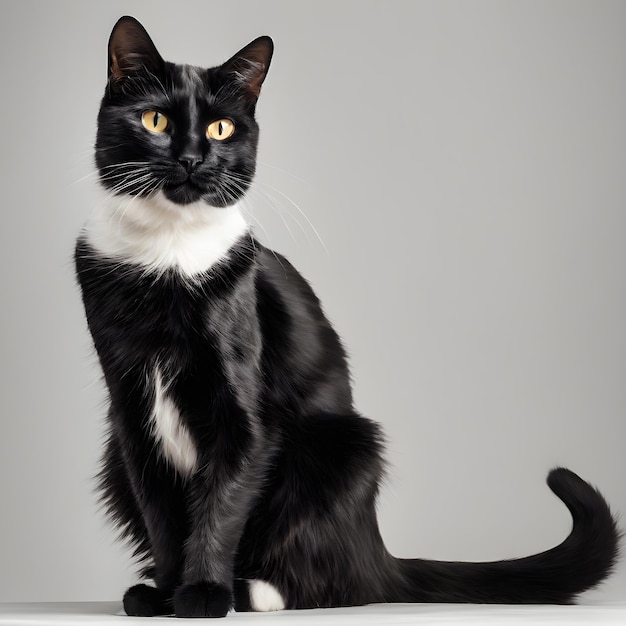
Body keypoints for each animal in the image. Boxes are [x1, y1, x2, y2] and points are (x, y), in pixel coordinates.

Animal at [75, 15, 616, 620]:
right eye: (156, 120)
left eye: (219, 128)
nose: (193, 158)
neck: (167, 257)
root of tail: (376, 548)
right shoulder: (130, 412)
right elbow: (162, 511)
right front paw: (168, 592)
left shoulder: (242, 411)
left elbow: (221, 500)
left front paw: (205, 594)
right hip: (115, 458)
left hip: (344, 447)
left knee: (341, 580)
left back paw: (255, 590)